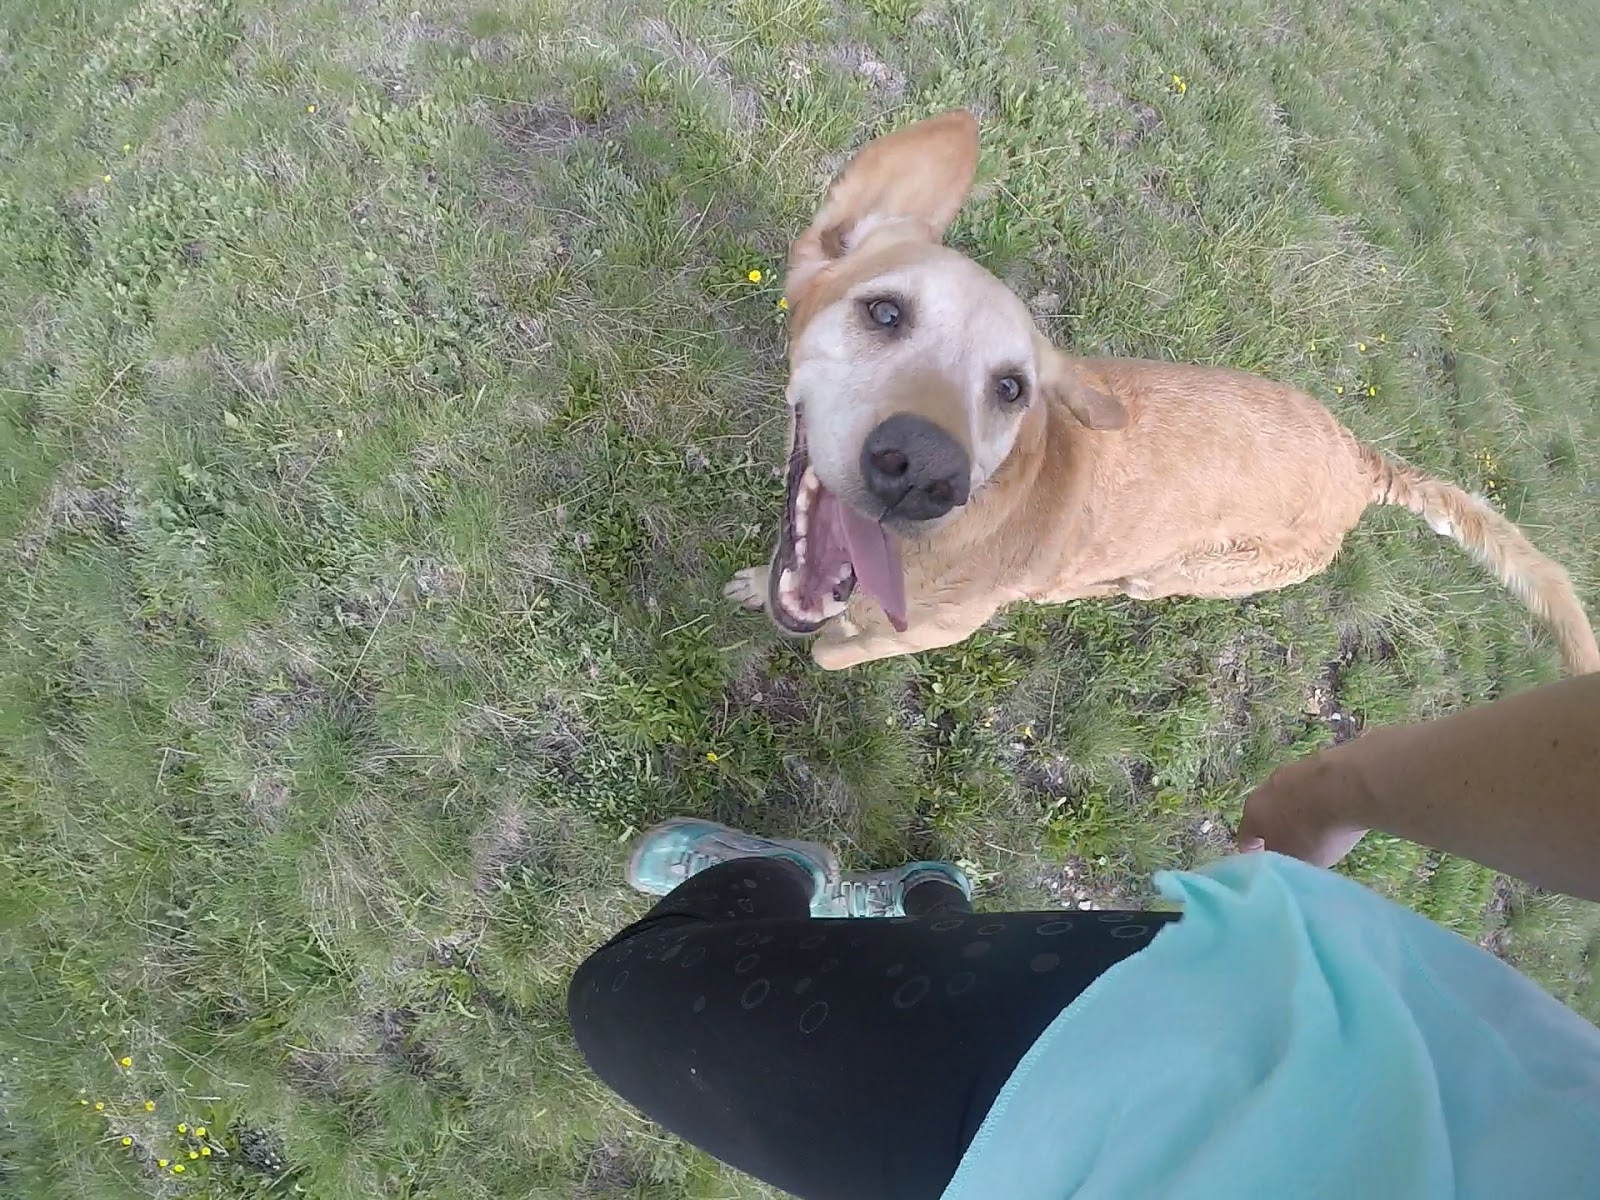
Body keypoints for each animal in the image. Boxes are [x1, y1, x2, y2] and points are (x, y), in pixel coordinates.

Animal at [726, 112, 1600, 678]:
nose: (923, 473)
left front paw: (823, 640)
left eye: (1010, 388)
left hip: (1191, 571)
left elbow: (833, 647)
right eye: (884, 312)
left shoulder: (918, 633)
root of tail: (1360, 460)